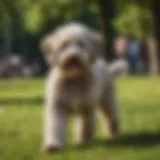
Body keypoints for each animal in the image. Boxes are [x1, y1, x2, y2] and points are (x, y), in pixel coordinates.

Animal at [40, 23, 127, 152]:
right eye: (64, 45)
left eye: (81, 44)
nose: (73, 57)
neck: (74, 79)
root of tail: (108, 67)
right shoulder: (57, 106)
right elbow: (55, 125)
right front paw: (53, 145)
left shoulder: (87, 107)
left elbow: (85, 125)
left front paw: (82, 140)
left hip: (107, 101)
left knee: (111, 117)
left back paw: (112, 133)